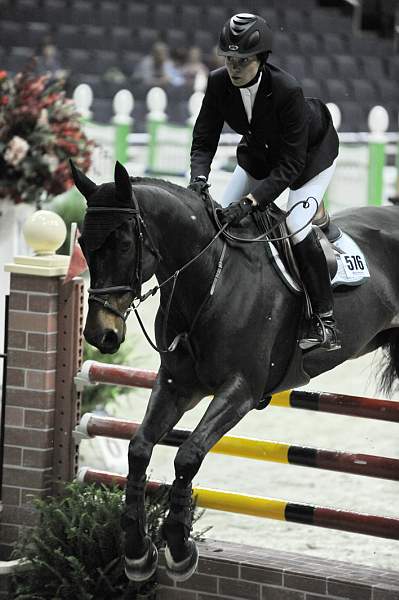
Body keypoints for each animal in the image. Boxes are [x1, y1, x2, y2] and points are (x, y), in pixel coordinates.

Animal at [72, 162, 399, 584]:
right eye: (83, 244)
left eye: (125, 244)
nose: (102, 334)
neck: (209, 282)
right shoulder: (177, 384)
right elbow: (139, 447)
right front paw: (137, 552)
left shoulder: (241, 390)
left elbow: (187, 455)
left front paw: (179, 548)